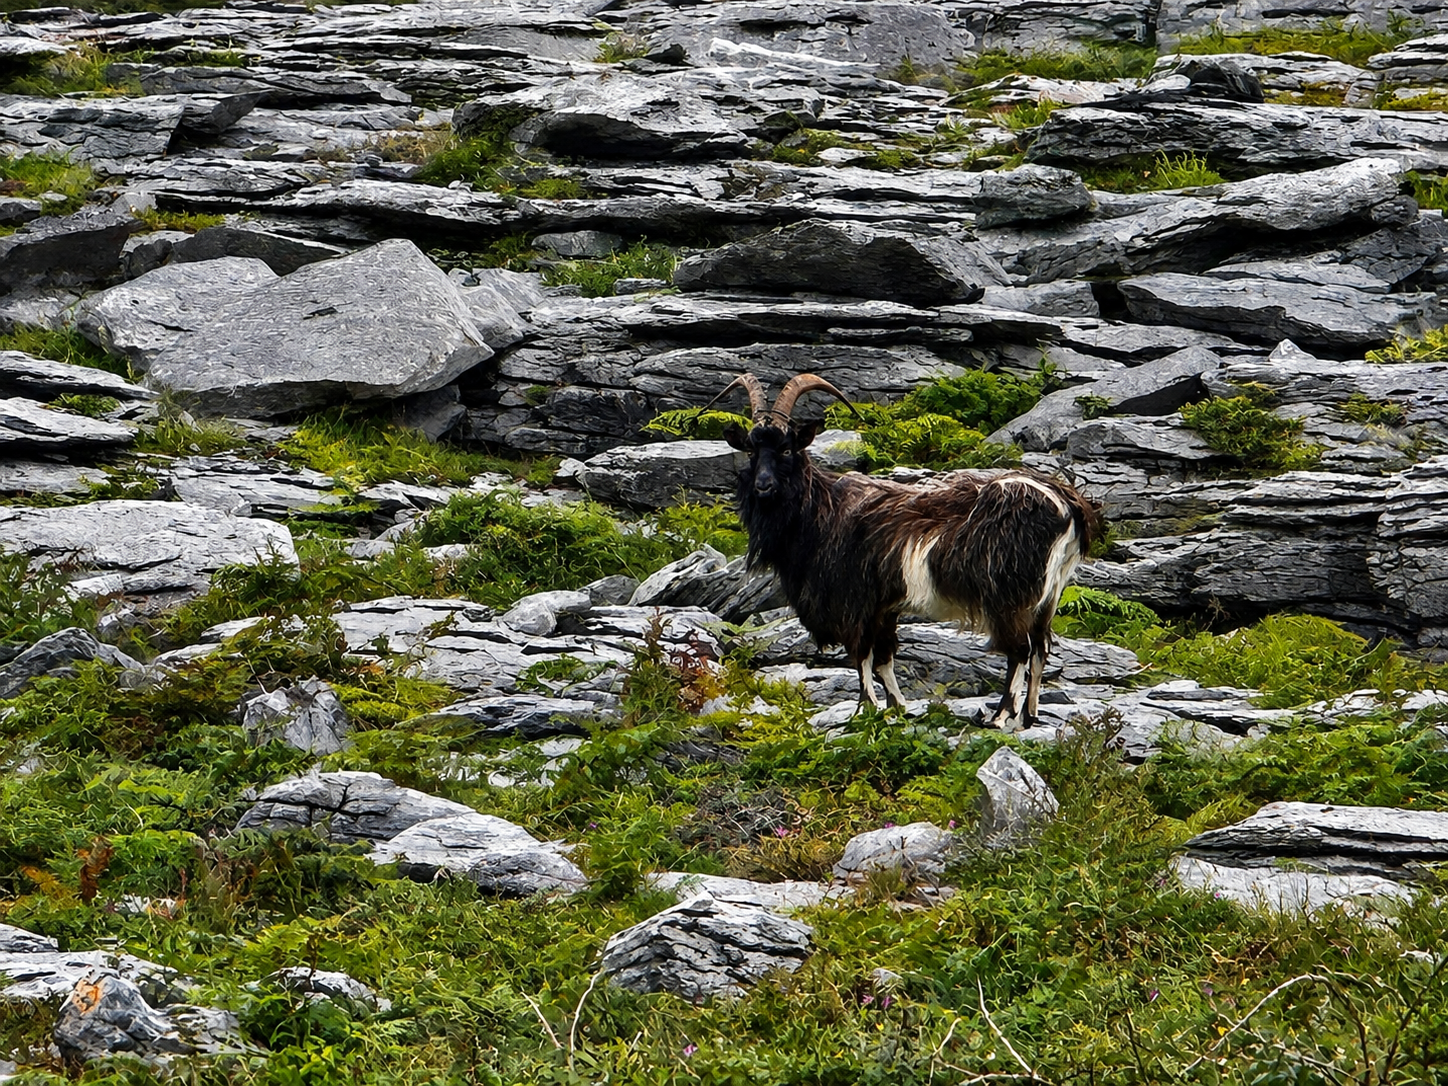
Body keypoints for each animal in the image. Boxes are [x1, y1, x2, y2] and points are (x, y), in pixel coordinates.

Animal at [715, 372, 1103, 730]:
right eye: (750, 450)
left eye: (786, 449)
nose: (763, 486)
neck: (823, 512)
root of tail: (1067, 504)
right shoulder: (885, 605)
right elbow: (884, 657)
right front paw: (897, 707)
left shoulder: (856, 601)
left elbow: (862, 655)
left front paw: (866, 710)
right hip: (1048, 596)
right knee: (1040, 648)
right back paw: (1028, 717)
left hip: (1010, 596)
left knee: (1020, 650)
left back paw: (999, 716)